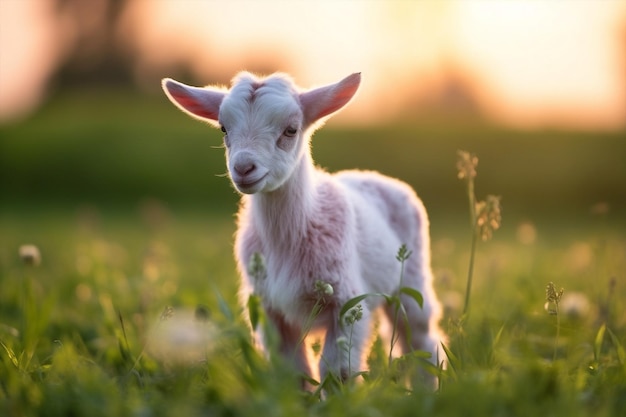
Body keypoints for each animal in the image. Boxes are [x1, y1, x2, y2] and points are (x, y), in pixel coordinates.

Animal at [161, 71, 444, 384]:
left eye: (291, 130)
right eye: (224, 128)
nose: (244, 168)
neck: (287, 240)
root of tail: (372, 175)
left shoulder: (346, 302)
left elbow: (337, 372)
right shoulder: (270, 310)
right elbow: (293, 373)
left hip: (412, 280)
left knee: (420, 339)